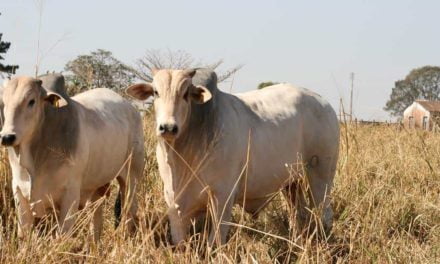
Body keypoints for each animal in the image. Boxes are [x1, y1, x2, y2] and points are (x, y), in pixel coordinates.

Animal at [0, 76, 144, 239]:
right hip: (96, 186)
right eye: (4, 102)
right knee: (96, 216)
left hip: (132, 177)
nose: (7, 137)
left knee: (130, 212)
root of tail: (131, 108)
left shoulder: (71, 194)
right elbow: (23, 234)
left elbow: (62, 234)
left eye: (31, 101)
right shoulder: (19, 190)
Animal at [125, 68, 338, 245]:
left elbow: (215, 242)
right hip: (292, 183)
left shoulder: (223, 197)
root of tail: (324, 103)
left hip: (321, 176)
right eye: (155, 92)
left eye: (185, 94)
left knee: (324, 214)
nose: (168, 127)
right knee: (298, 214)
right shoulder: (173, 201)